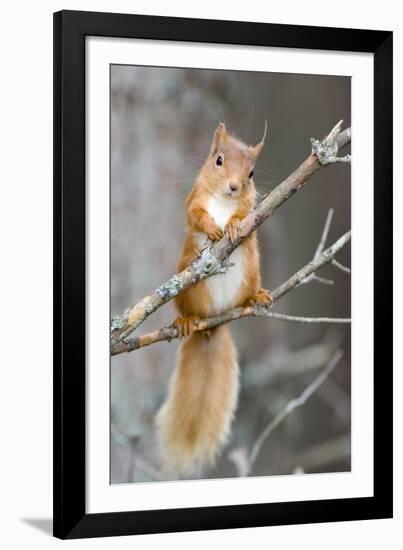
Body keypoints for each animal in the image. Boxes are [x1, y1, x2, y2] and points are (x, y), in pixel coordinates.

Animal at [156, 123, 274, 476]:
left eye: (251, 172)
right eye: (218, 160)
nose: (234, 187)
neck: (222, 201)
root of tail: (214, 323)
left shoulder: (252, 210)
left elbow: (245, 217)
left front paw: (233, 225)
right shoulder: (193, 198)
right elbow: (195, 214)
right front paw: (213, 227)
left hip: (251, 272)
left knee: (247, 295)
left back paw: (256, 298)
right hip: (187, 287)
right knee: (186, 309)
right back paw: (185, 321)